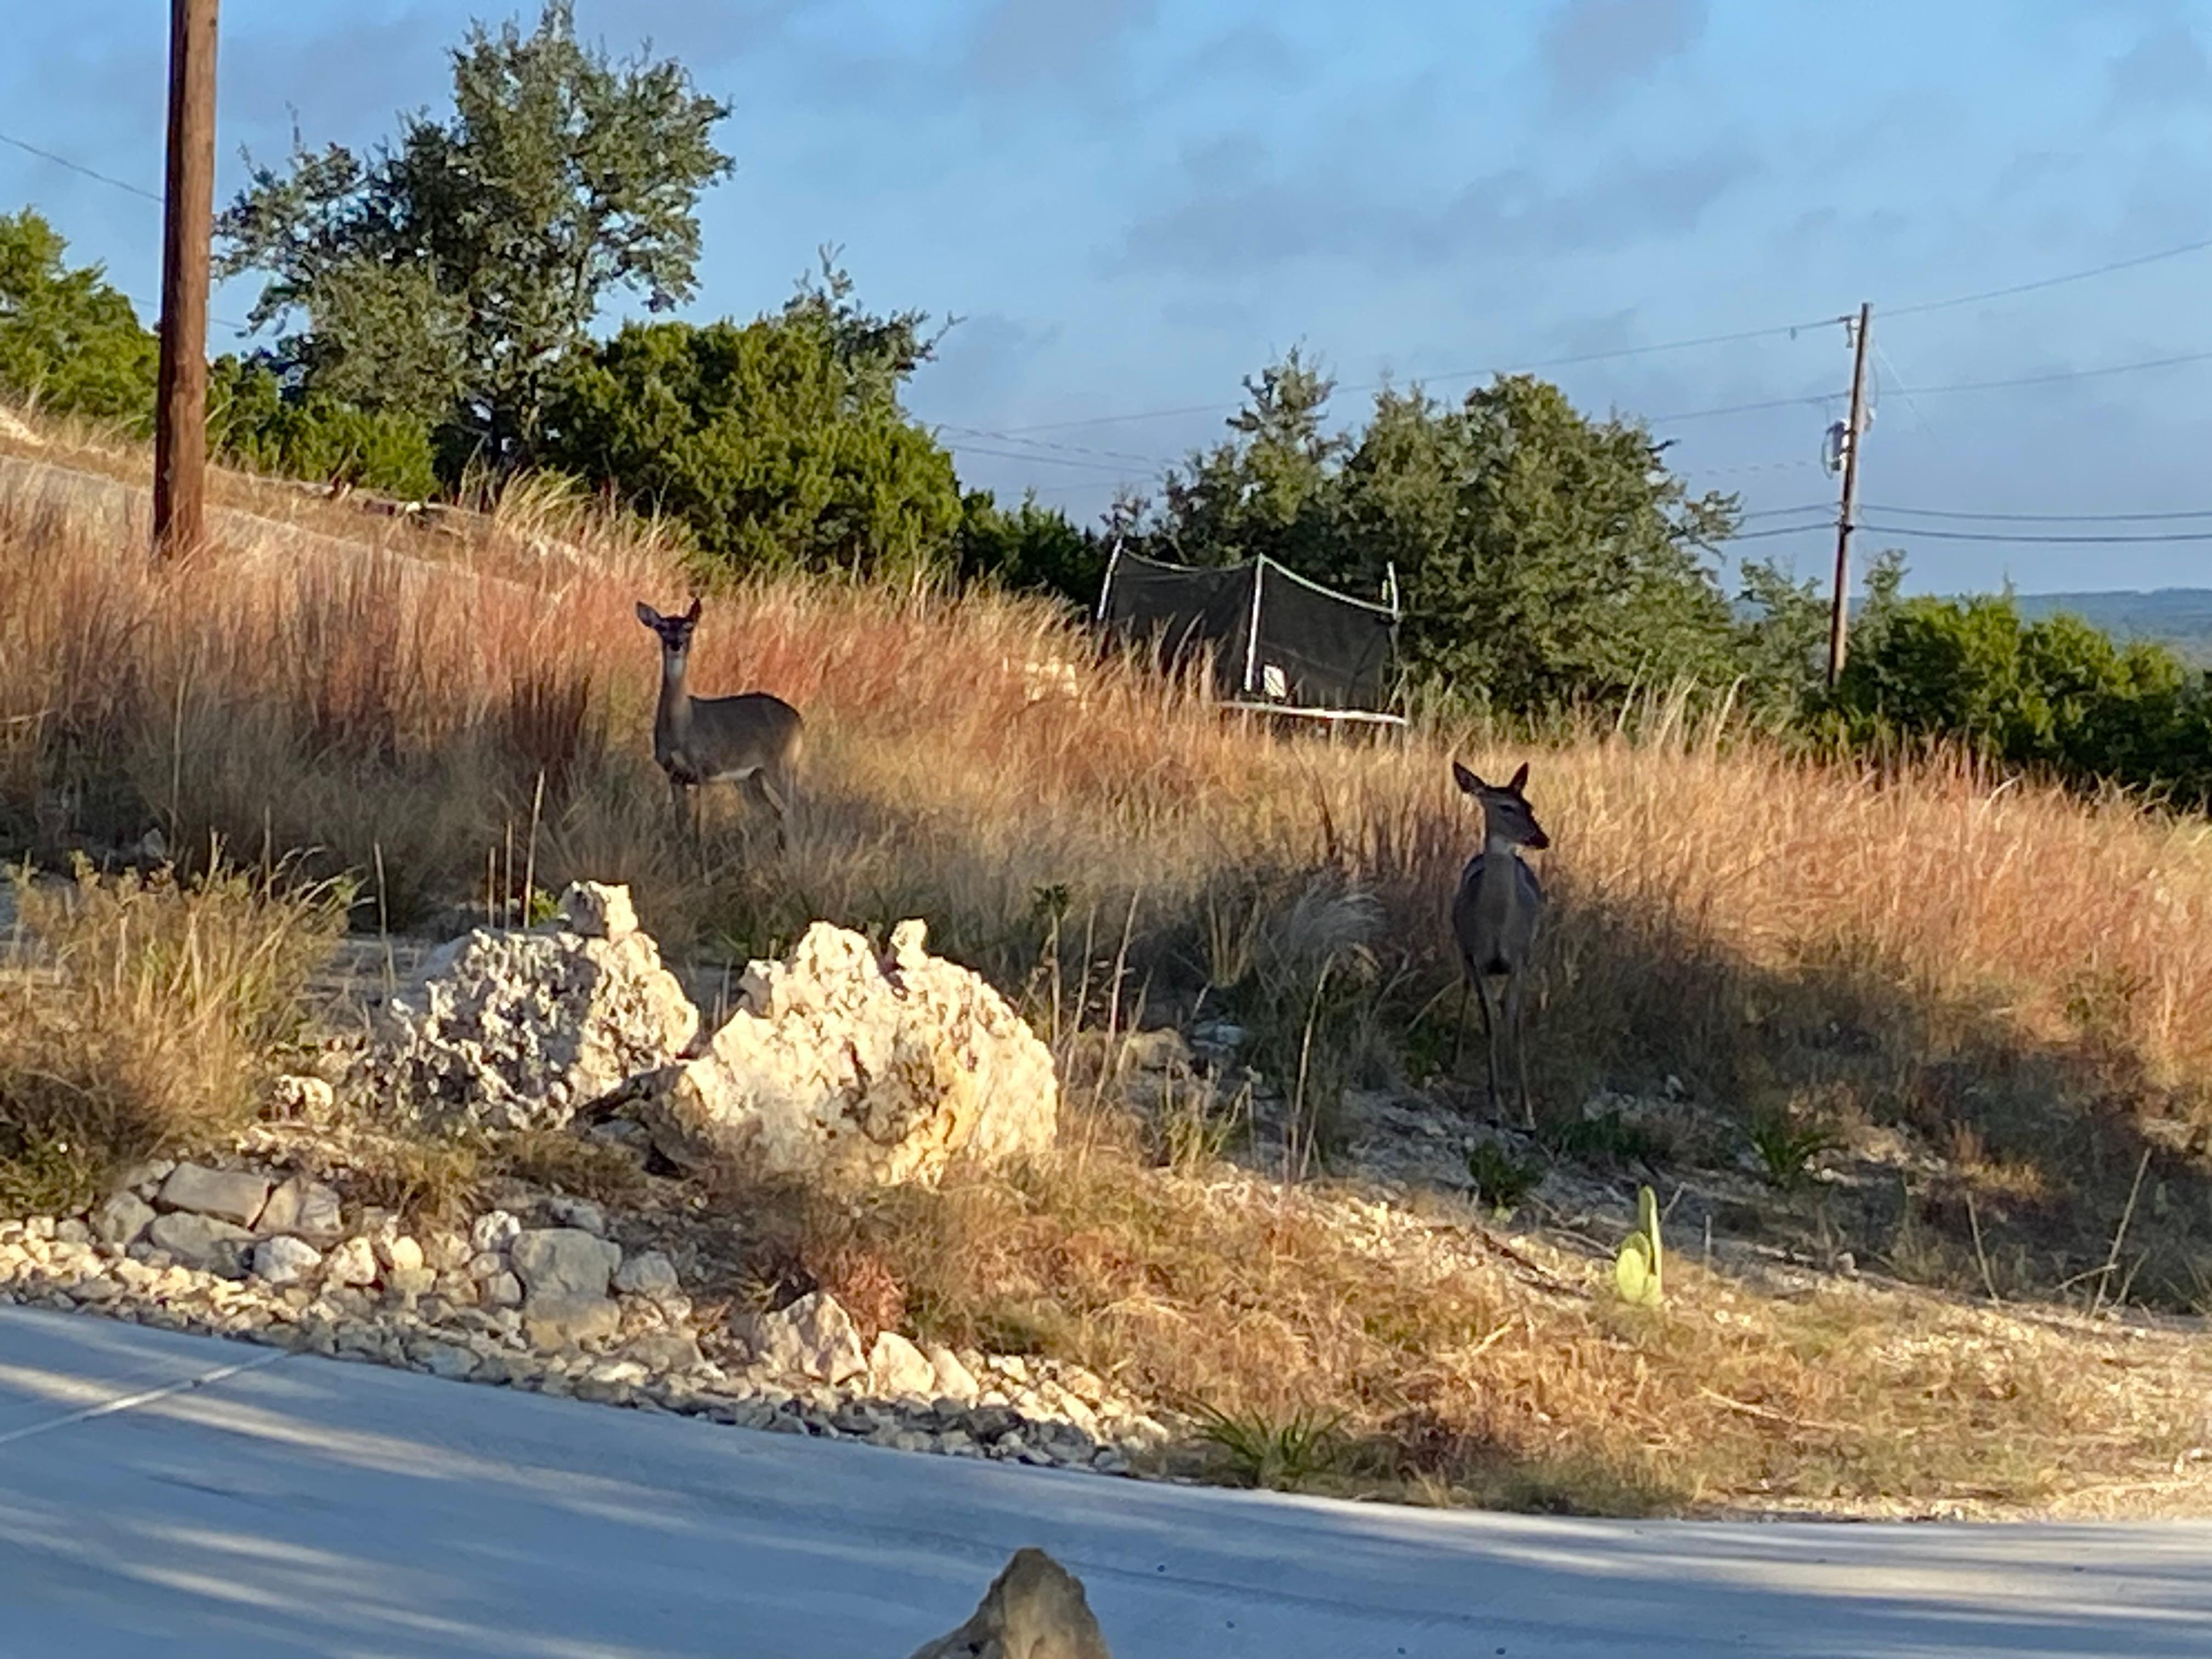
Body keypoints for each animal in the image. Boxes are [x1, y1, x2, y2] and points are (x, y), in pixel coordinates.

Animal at [635, 598, 803, 849]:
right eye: (662, 627)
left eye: (689, 627)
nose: (676, 644)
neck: (683, 725)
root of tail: (800, 722)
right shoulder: (674, 774)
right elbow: (681, 822)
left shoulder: (703, 769)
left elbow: (698, 824)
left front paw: (697, 852)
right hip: (752, 777)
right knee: (775, 814)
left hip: (783, 765)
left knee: (791, 814)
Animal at [1449, 760, 1550, 1128]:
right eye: (1505, 807)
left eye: (1529, 806)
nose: (1541, 838)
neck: (1497, 927)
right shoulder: (1478, 957)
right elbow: (1490, 1019)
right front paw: (1496, 1107)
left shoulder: (1519, 959)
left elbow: (1515, 1023)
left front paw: (1528, 1112)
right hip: (1463, 951)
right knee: (1470, 992)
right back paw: (1456, 1059)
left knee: (1507, 1008)